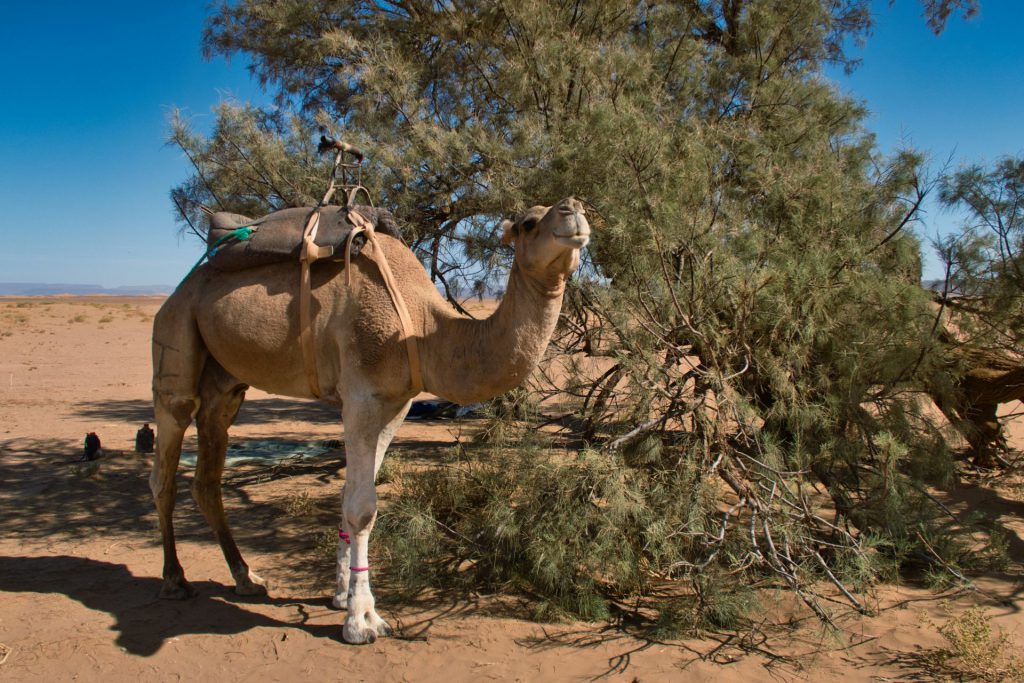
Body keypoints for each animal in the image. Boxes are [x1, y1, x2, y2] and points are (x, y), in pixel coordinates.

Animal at [148, 194, 589, 643]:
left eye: (576, 207)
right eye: (529, 222)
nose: (573, 209)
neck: (423, 328)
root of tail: (180, 290)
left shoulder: (396, 405)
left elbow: (349, 497)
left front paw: (341, 594)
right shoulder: (360, 397)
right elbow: (362, 507)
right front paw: (361, 619)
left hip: (225, 382)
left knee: (208, 470)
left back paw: (245, 577)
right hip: (176, 336)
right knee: (167, 457)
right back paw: (174, 579)